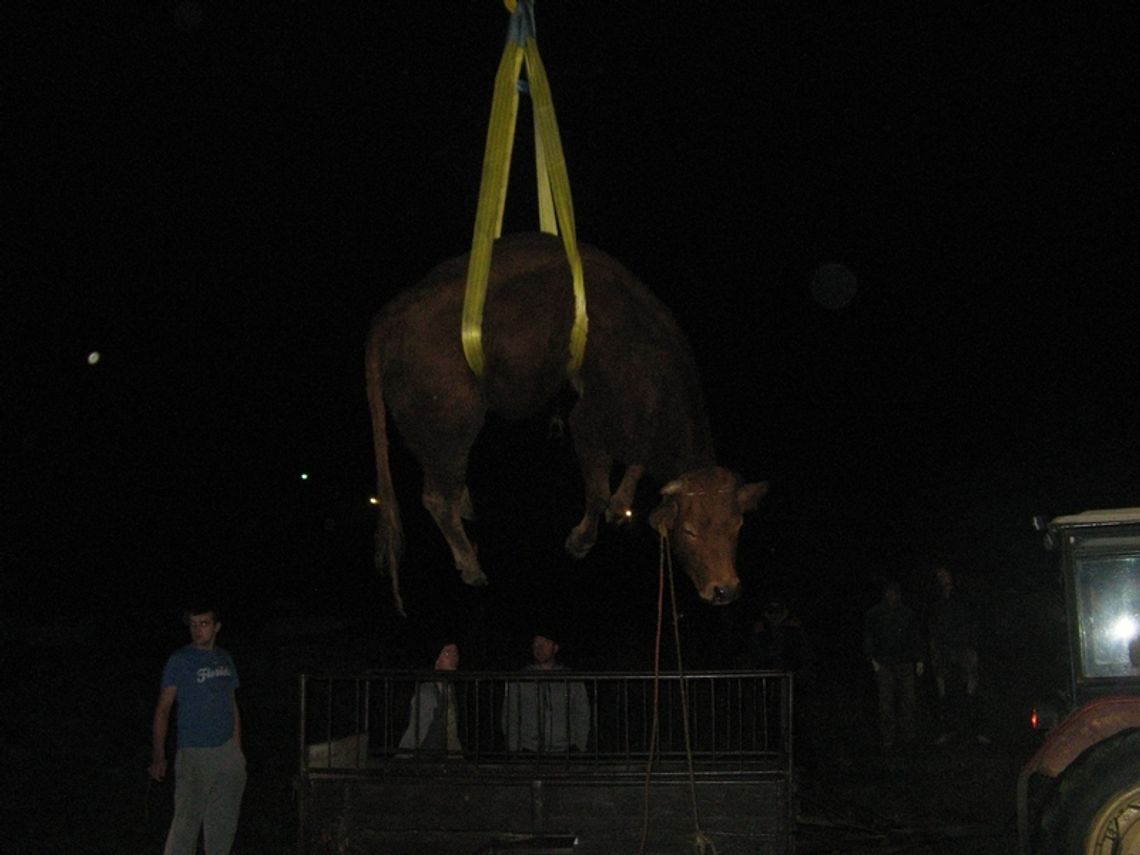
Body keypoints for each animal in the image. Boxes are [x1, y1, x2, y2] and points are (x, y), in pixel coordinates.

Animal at [369, 231, 770, 611]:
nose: (724, 590)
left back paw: (465, 505)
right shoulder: (587, 423)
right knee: (437, 497)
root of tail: (392, 315)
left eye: (737, 526)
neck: (653, 371)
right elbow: (596, 492)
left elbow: (633, 466)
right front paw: (581, 540)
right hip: (451, 426)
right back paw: (470, 564)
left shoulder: (633, 429)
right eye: (688, 532)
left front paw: (620, 507)